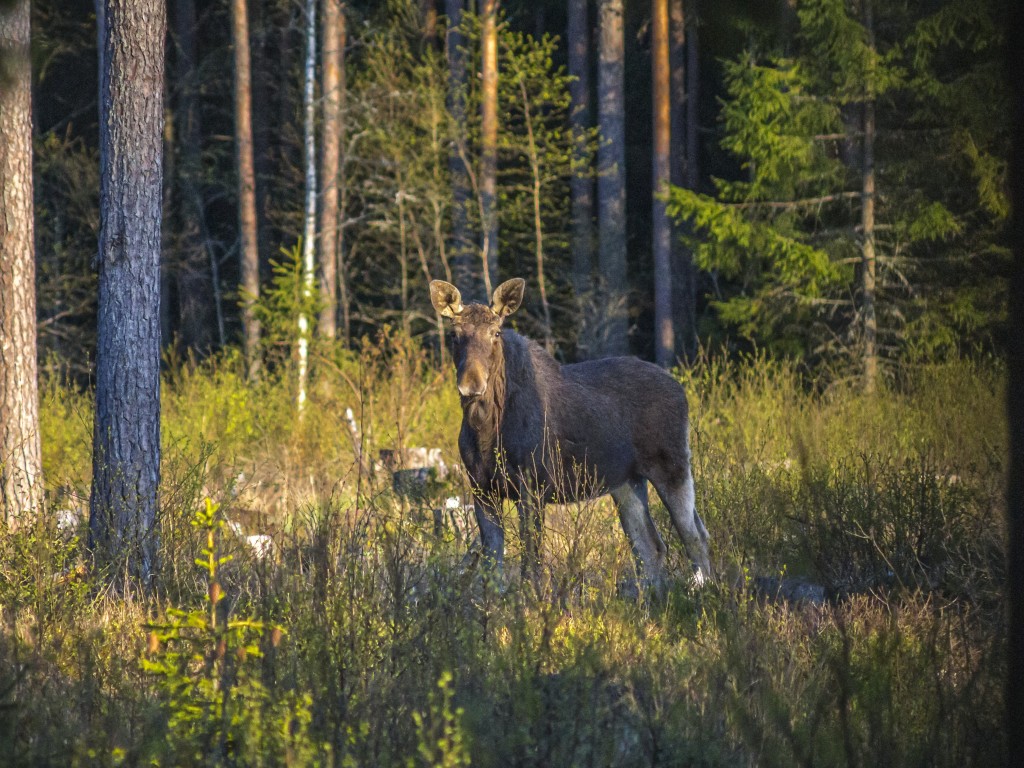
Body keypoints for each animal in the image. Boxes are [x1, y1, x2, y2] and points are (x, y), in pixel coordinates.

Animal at [428, 280, 708, 593]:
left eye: (496, 333)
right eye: (454, 335)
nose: (472, 384)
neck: (486, 430)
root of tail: (681, 390)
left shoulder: (532, 486)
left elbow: (531, 562)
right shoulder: (482, 488)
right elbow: (493, 569)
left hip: (672, 466)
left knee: (696, 537)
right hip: (626, 482)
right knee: (651, 546)